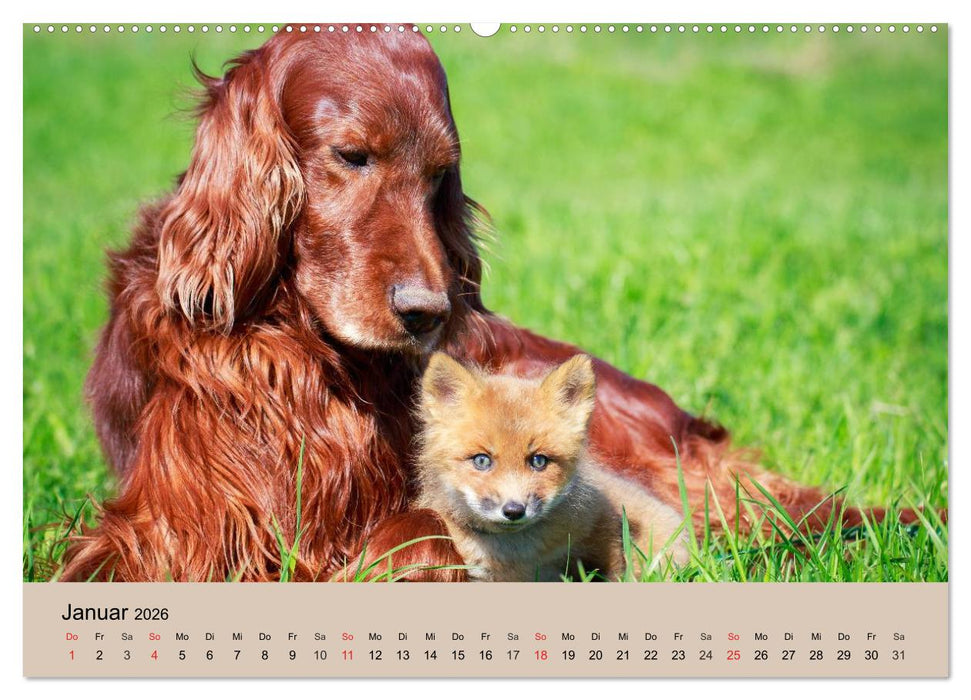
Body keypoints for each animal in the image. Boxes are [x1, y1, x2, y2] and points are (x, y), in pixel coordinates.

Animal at [414, 352, 692, 582]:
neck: (513, 553)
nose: (514, 510)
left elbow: (616, 572)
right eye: (482, 460)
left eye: (539, 461)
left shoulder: (602, 523)